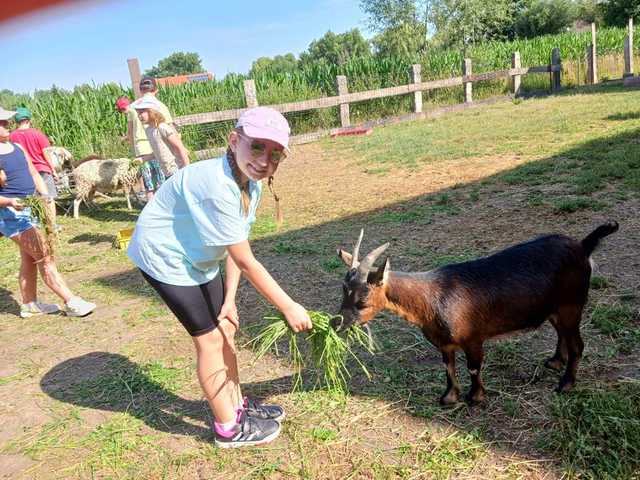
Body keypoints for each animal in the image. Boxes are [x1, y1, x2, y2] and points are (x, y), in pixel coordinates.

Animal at [336, 221, 620, 404]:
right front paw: (449, 397)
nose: (336, 324)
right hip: (556, 309)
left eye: (363, 300)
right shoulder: (444, 343)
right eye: (343, 291)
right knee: (561, 333)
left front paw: (475, 397)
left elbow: (473, 367)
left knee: (577, 344)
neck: (431, 299)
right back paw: (554, 361)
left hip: (572, 305)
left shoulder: (473, 338)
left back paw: (566, 383)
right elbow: (448, 367)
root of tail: (583, 247)